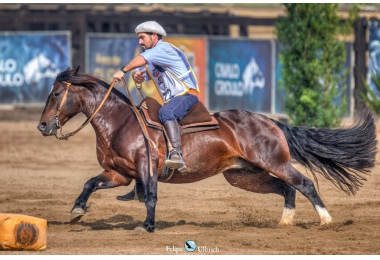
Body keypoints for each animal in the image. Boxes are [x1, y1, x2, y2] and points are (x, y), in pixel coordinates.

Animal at [37, 66, 376, 232]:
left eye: (55, 94)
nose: (42, 126)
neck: (121, 123)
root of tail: (271, 121)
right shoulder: (118, 174)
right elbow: (89, 183)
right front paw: (77, 210)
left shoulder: (146, 169)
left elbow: (151, 197)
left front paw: (147, 227)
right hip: (244, 175)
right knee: (287, 188)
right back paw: (285, 222)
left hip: (274, 163)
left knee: (303, 183)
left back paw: (325, 221)